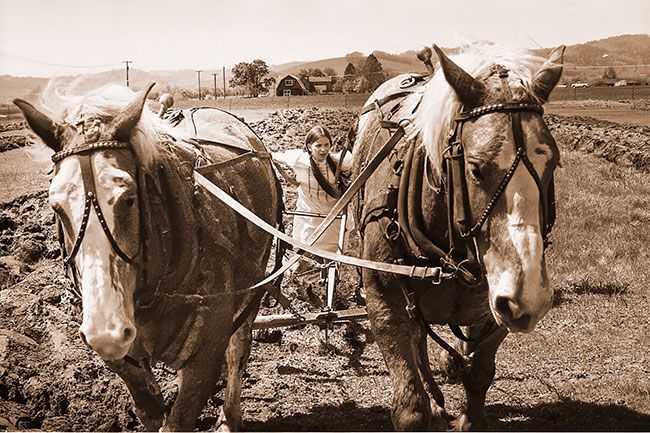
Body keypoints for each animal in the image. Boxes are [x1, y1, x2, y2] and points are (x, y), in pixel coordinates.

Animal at [14, 82, 282, 431]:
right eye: (55, 206)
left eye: (128, 198)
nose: (107, 329)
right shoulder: (117, 352)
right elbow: (149, 407)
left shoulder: (208, 351)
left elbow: (181, 417)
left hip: (255, 283)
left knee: (239, 347)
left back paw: (229, 416)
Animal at [352, 43, 564, 430]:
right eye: (476, 168)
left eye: (552, 163)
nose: (529, 298)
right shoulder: (384, 305)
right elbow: (410, 407)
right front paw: (429, 406)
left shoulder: (496, 307)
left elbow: (479, 372)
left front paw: (468, 414)